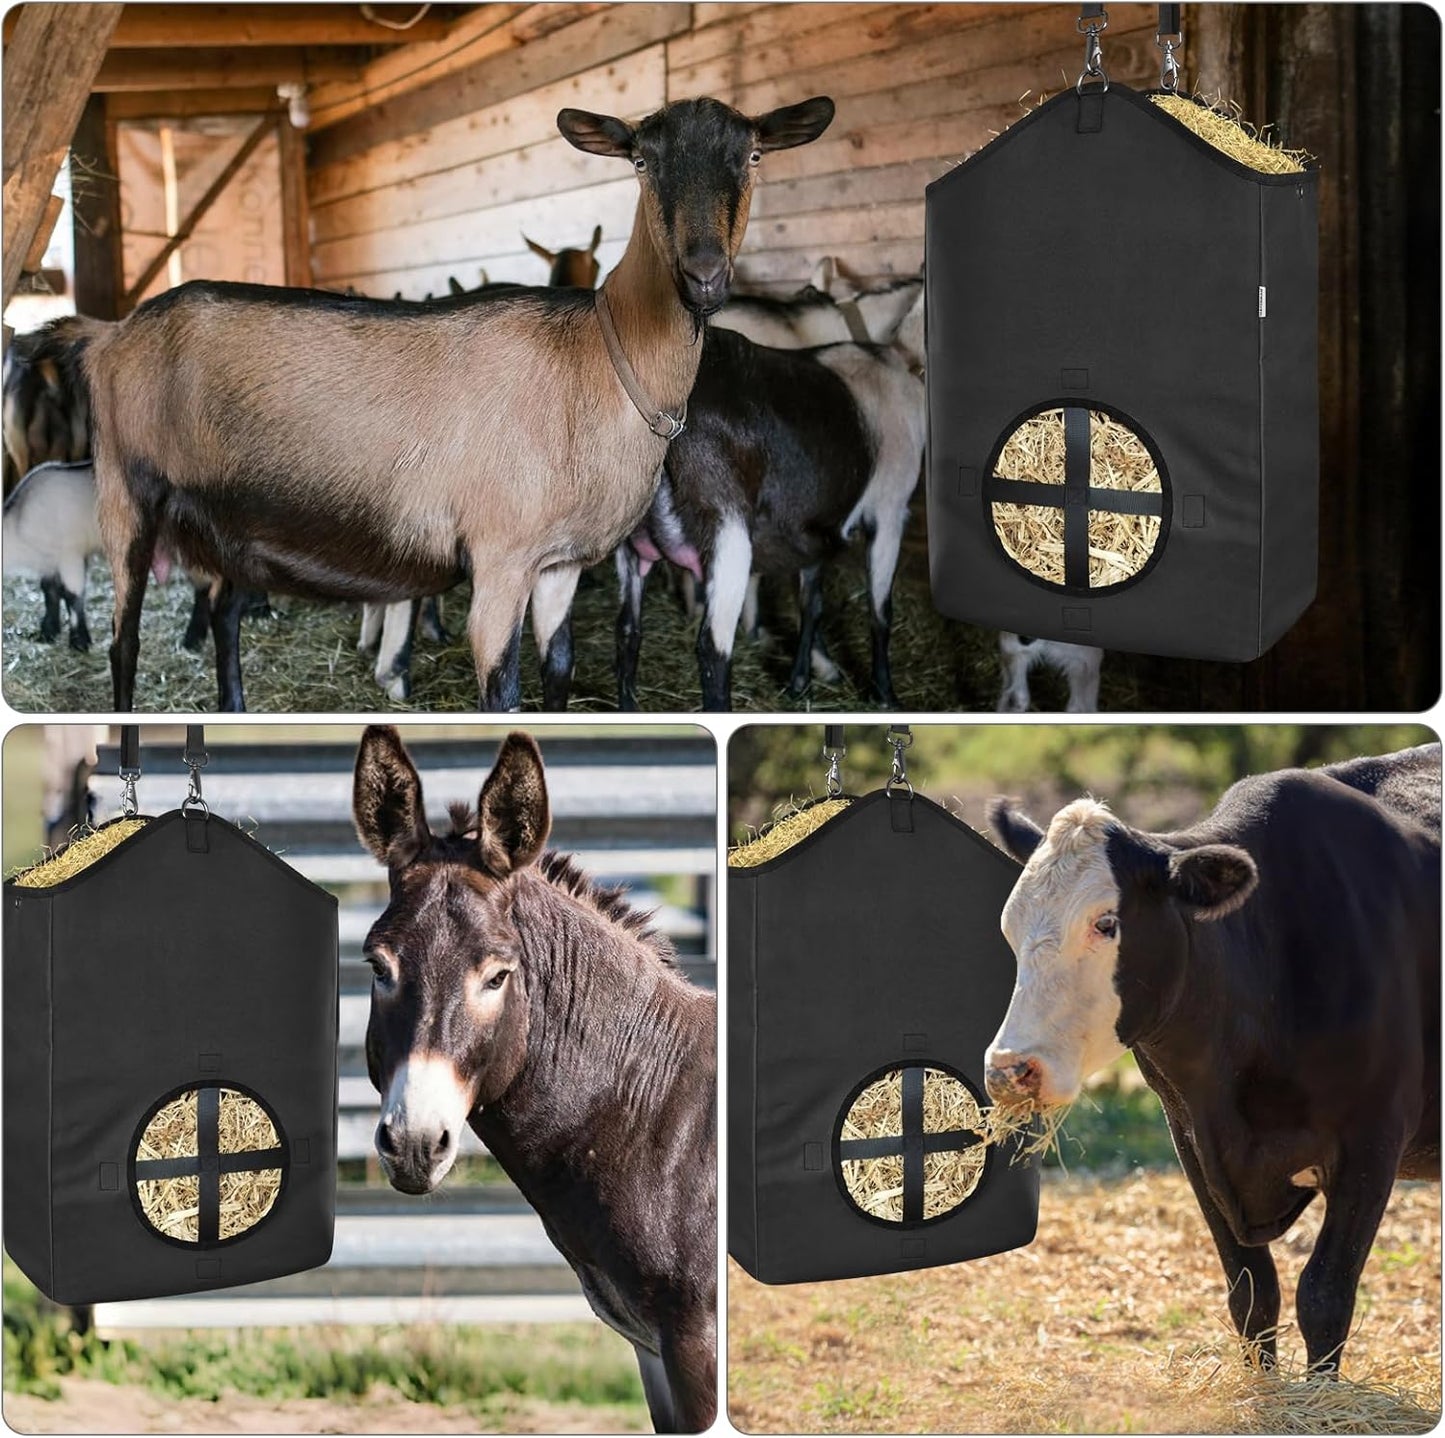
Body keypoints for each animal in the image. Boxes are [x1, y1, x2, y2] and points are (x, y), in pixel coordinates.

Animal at [36, 96, 834, 712]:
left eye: (752, 157)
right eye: (641, 161)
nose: (702, 275)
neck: (599, 361)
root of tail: (108, 336)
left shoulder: (560, 563)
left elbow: (559, 669)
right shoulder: (500, 558)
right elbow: (502, 691)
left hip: (241, 523)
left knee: (227, 612)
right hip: (127, 489)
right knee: (125, 638)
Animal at [617, 319, 924, 710]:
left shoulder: (814, 527)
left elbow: (812, 604)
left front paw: (801, 682)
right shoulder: (890, 511)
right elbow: (881, 610)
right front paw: (885, 694)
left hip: (630, 542)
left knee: (628, 631)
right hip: (729, 533)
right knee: (712, 649)